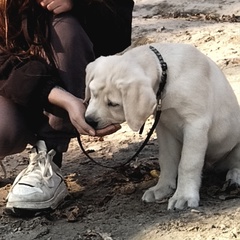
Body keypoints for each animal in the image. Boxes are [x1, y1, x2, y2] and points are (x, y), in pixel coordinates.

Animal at [84, 43, 240, 210]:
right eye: (93, 93)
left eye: (113, 104)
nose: (89, 120)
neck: (165, 73)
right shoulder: (165, 127)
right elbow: (167, 159)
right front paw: (162, 188)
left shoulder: (196, 124)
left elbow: (188, 163)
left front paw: (184, 196)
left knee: (235, 165)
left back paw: (234, 177)